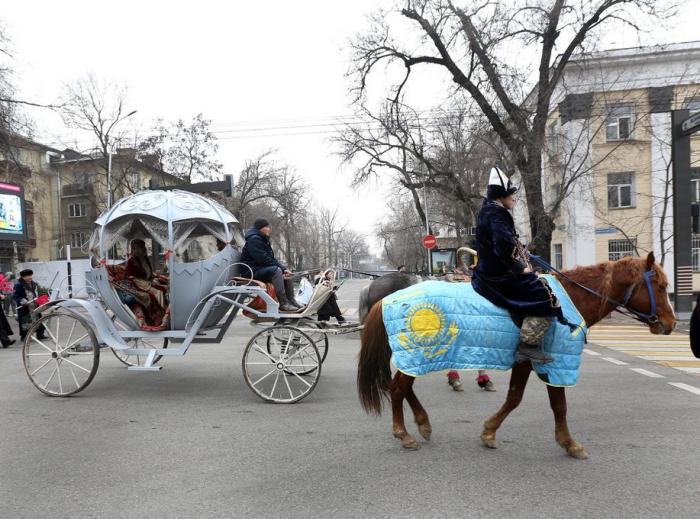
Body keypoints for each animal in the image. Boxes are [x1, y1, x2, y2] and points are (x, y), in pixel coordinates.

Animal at [358, 254, 676, 462]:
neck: (566, 302)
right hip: (418, 354)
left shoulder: (527, 362)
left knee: (402, 387)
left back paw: (423, 423)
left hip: (417, 357)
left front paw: (489, 432)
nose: (671, 324)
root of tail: (387, 298)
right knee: (397, 388)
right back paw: (404, 434)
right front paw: (570, 444)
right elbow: (555, 405)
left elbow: (516, 397)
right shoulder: (553, 362)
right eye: (660, 287)